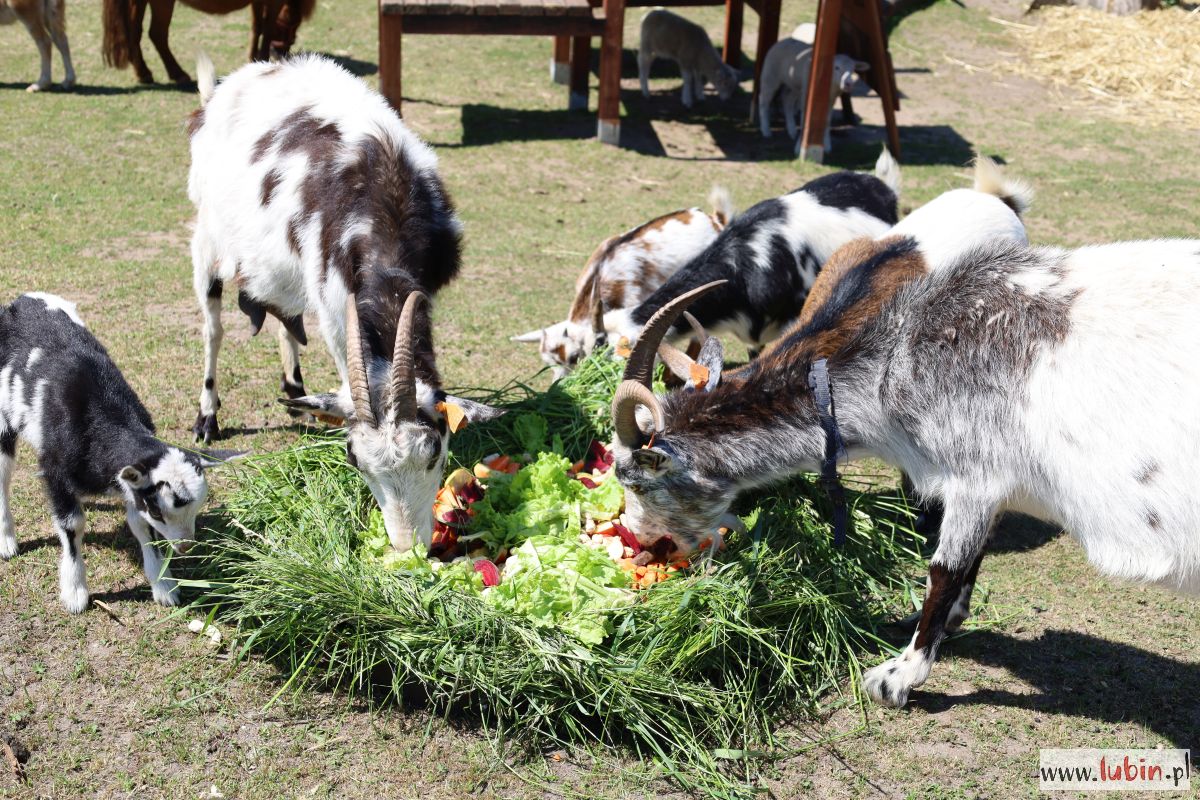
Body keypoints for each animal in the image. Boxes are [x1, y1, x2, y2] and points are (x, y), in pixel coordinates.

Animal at [0, 293, 211, 614]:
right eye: (158, 511)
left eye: (197, 507)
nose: (186, 546)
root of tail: (20, 300)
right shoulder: (54, 470)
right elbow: (72, 524)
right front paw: (75, 593)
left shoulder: (130, 481)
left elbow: (139, 525)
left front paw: (164, 586)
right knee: (2, 475)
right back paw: (7, 542)